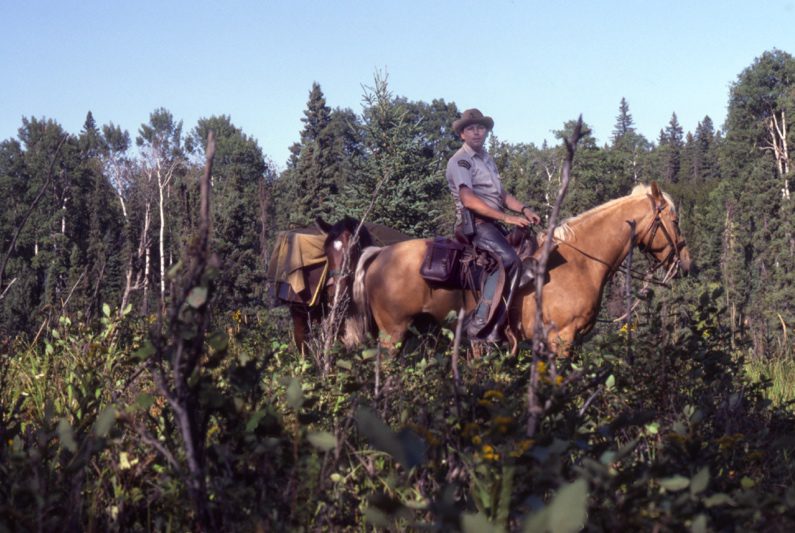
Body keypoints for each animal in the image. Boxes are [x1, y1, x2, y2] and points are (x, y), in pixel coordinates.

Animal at [352, 182, 692, 354]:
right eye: (674, 220)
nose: (686, 264)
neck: (581, 262)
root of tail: (380, 254)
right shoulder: (561, 339)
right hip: (392, 334)